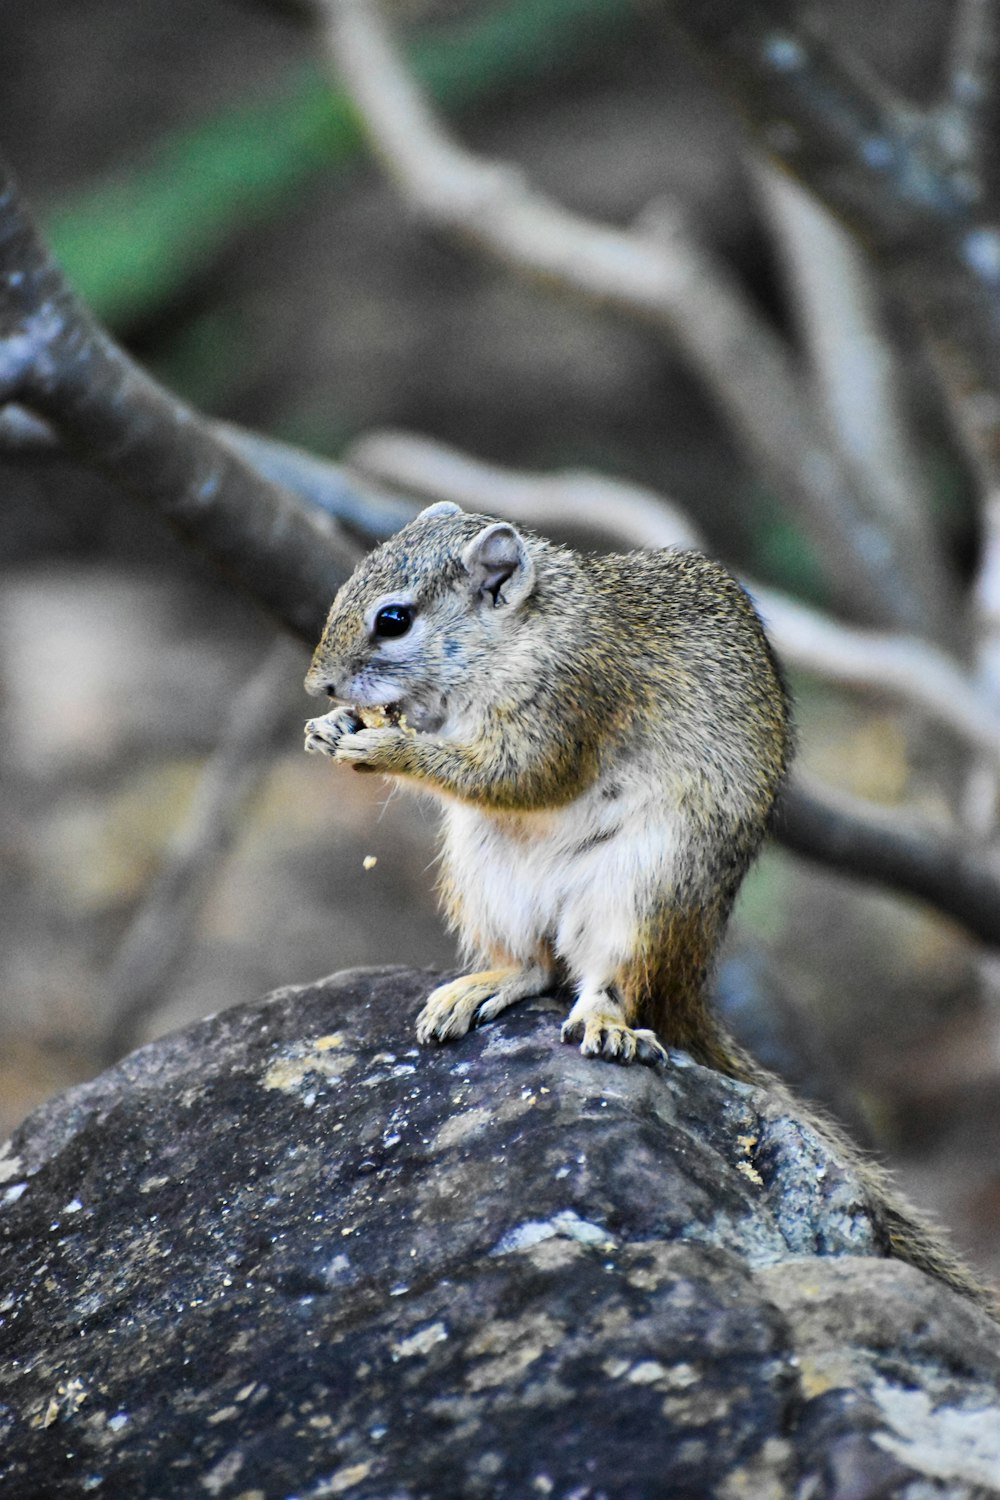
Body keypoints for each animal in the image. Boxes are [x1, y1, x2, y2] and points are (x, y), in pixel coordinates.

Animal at [307, 501, 1000, 1314]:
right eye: (349, 583)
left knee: (602, 979)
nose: (319, 687)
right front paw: (334, 730)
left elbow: (521, 774)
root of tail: (688, 978)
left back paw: (607, 1023)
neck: (515, 636)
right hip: (488, 879)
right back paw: (482, 986)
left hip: (644, 892)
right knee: (537, 967)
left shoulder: (574, 692)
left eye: (394, 619)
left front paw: (387, 748)